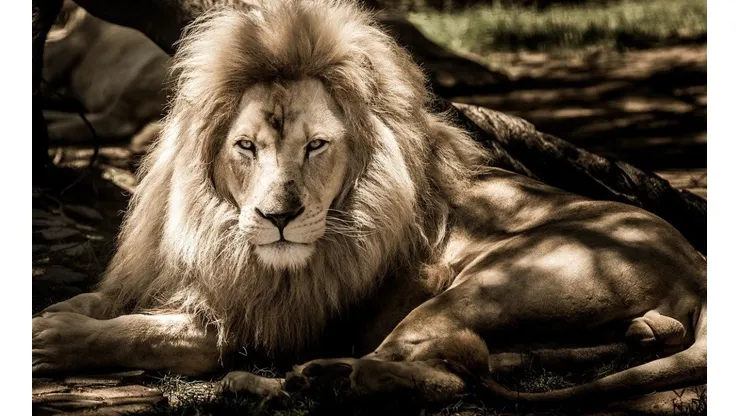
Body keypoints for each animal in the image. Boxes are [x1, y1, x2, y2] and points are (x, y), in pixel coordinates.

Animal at [32, 0, 706, 405]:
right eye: (246, 147)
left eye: (317, 146)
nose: (279, 218)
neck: (215, 229)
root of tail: (696, 262)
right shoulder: (162, 275)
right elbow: (99, 302)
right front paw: (56, 314)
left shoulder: (261, 322)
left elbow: (151, 335)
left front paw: (51, 339)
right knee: (484, 364)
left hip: (492, 282)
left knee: (441, 376)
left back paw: (296, 380)